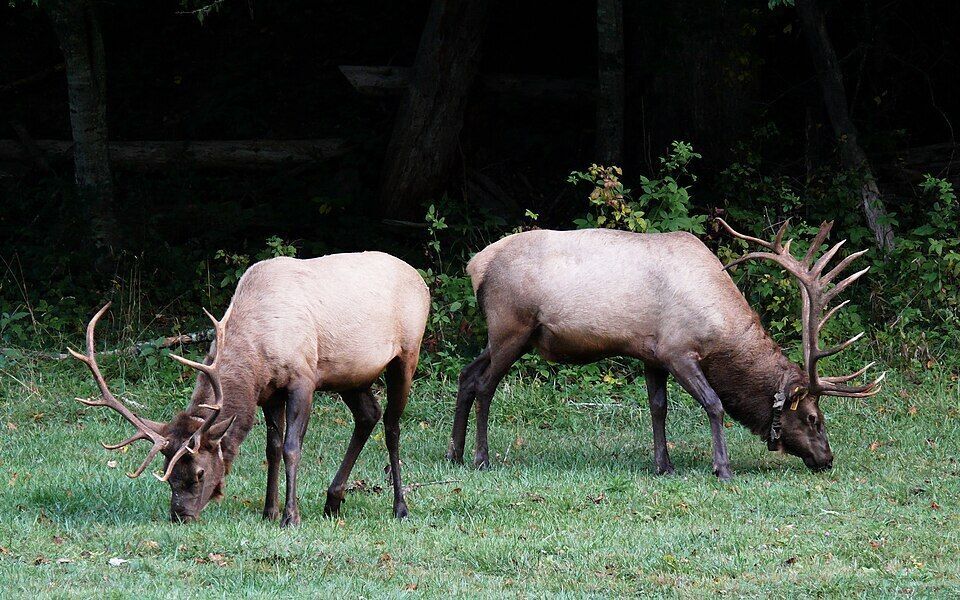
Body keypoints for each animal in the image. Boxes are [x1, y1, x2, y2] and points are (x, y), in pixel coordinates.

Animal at [70, 252, 430, 525]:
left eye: (200, 473)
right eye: (167, 473)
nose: (180, 515)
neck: (256, 354)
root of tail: (421, 280)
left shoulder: (303, 378)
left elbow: (291, 447)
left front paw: (290, 517)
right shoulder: (269, 392)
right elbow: (272, 448)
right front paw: (268, 512)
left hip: (406, 354)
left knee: (392, 425)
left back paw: (400, 507)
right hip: (351, 376)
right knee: (369, 414)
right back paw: (332, 501)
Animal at [447, 221, 883, 479]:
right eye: (813, 418)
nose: (827, 459)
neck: (717, 327)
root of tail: (475, 265)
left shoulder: (650, 354)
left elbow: (659, 407)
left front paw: (664, 465)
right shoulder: (677, 351)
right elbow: (713, 403)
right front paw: (721, 467)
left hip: (504, 336)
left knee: (466, 375)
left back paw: (454, 453)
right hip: (511, 327)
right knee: (485, 386)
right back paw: (481, 458)